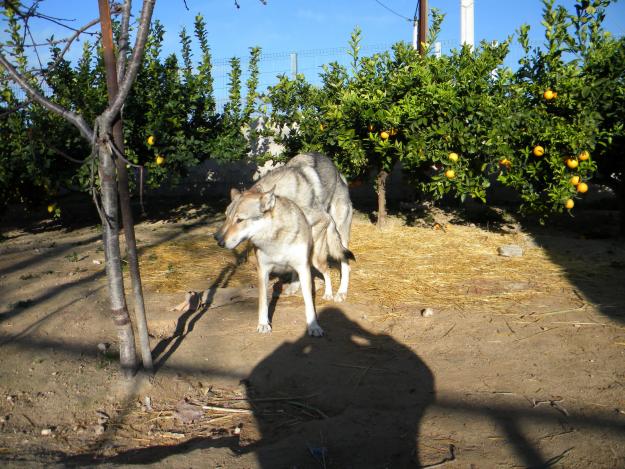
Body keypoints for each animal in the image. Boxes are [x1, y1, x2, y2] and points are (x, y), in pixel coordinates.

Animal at [213, 185, 352, 334]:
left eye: (239, 220)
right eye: (226, 217)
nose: (219, 241)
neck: (274, 238)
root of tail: (327, 214)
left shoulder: (304, 269)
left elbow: (309, 302)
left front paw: (314, 326)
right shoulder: (263, 271)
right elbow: (263, 301)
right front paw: (263, 324)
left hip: (316, 260)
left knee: (327, 272)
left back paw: (329, 294)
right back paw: (293, 289)